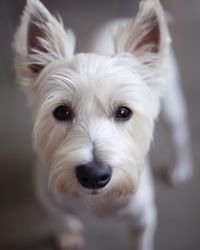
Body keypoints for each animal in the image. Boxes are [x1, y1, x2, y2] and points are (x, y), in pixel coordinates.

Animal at [13, 0, 193, 250]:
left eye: (123, 112)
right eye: (61, 111)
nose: (93, 174)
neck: (97, 202)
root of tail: (122, 18)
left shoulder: (144, 218)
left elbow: (140, 242)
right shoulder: (47, 198)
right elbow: (61, 217)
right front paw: (69, 234)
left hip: (171, 105)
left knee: (179, 134)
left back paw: (180, 167)